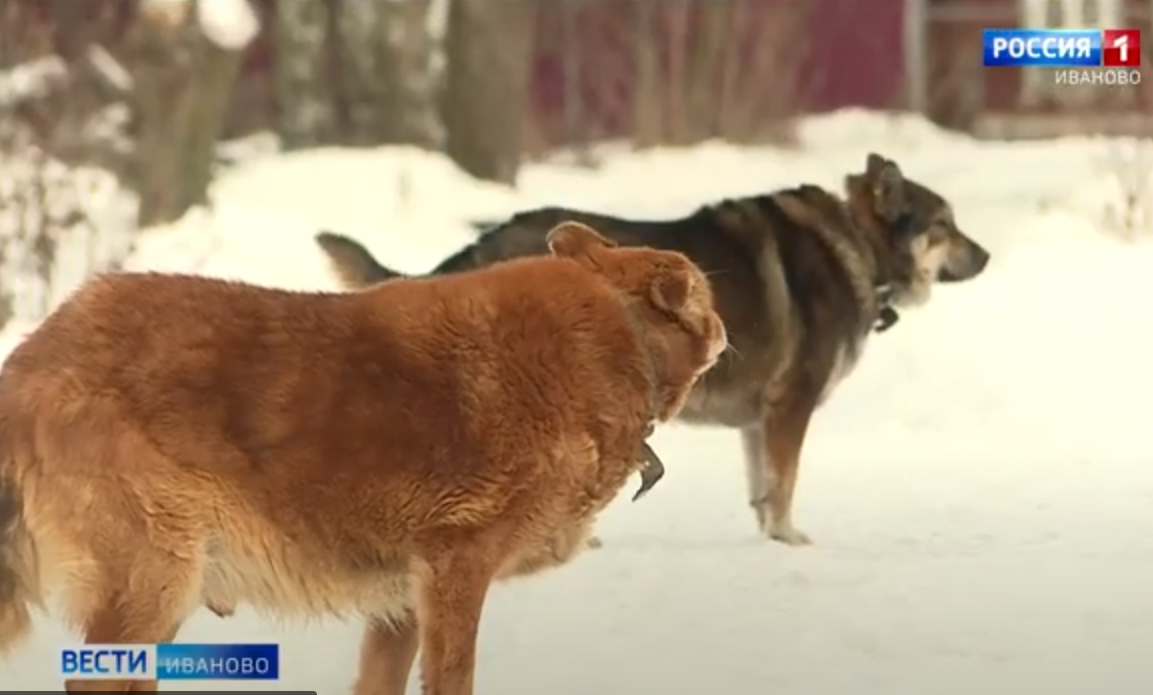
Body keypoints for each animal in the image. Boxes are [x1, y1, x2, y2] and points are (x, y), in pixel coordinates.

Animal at [0, 222, 719, 695]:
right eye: (706, 295)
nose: (723, 328)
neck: (619, 328)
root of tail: (30, 363)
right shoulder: (456, 572)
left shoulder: (399, 604)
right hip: (154, 582)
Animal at [315, 153, 991, 548]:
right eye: (945, 225)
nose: (986, 255)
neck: (859, 245)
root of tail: (486, 245)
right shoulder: (790, 408)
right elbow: (785, 485)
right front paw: (789, 538)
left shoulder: (759, 420)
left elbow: (763, 488)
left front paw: (769, 540)